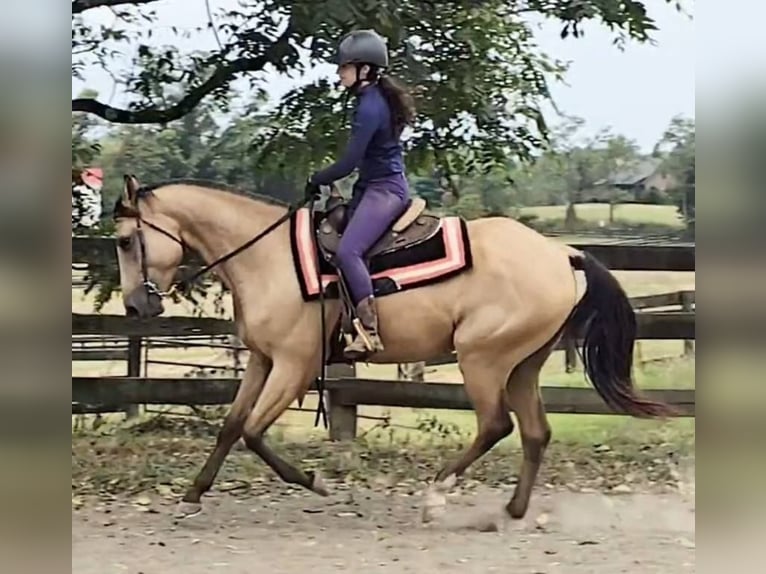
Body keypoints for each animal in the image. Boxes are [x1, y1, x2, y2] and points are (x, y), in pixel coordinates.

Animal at [112, 175, 672, 523]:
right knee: (535, 432)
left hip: (482, 357)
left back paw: (437, 496)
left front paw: (314, 481)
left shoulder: (294, 365)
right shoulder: (262, 360)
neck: (268, 257)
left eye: (124, 240)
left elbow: (252, 431)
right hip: (523, 364)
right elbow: (231, 426)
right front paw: (192, 495)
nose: (136, 306)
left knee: (496, 425)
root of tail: (560, 253)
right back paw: (511, 511)